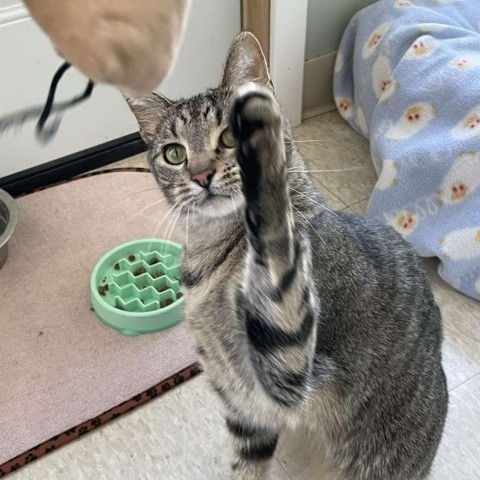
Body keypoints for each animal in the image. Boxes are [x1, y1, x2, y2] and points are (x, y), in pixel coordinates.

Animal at [125, 31, 448, 478]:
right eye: (174, 153)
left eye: (231, 136)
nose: (202, 175)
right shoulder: (243, 407)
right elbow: (246, 463)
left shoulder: (291, 372)